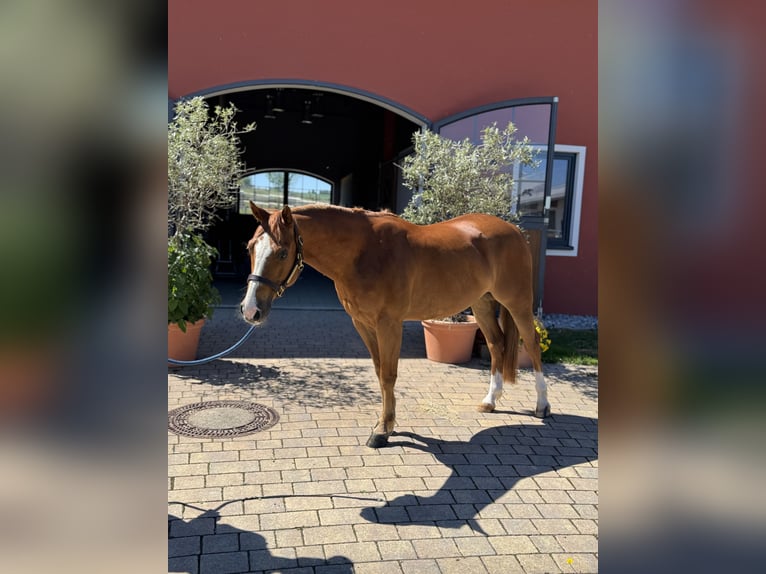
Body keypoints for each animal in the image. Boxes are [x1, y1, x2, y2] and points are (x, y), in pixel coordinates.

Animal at [240, 202, 550, 448]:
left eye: (282, 253)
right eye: (250, 248)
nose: (251, 310)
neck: (364, 251)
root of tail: (514, 231)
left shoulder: (389, 324)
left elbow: (389, 375)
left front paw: (382, 431)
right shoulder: (363, 323)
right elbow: (380, 373)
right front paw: (386, 423)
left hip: (517, 303)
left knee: (532, 343)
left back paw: (542, 405)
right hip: (482, 303)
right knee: (496, 344)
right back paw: (490, 401)